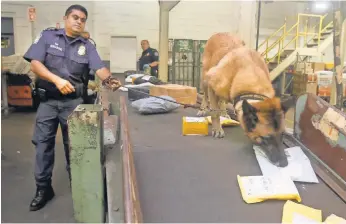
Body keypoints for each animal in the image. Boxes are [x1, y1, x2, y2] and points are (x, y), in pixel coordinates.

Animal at [199, 32, 294, 167]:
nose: (285, 163)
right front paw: (217, 129)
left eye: (282, 136)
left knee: (221, 100)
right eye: (267, 138)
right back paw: (203, 108)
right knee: (205, 95)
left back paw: (224, 112)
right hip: (205, 77)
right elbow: (215, 112)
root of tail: (220, 33)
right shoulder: (212, 84)